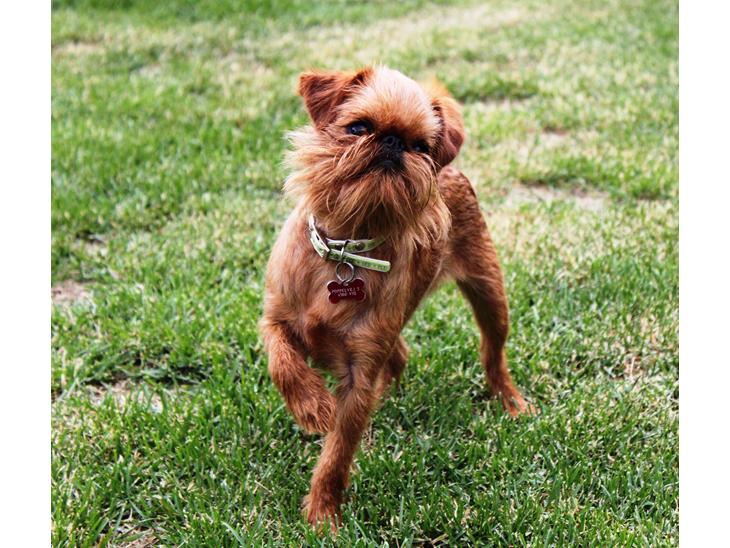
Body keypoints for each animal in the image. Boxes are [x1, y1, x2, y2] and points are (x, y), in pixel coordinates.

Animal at [260, 66, 529, 530]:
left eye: (421, 146)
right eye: (358, 128)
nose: (393, 143)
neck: (345, 250)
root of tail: (451, 171)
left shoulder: (358, 374)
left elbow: (337, 452)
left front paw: (323, 513)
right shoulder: (274, 316)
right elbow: (283, 362)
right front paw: (312, 405)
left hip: (490, 294)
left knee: (492, 353)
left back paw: (510, 400)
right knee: (399, 354)